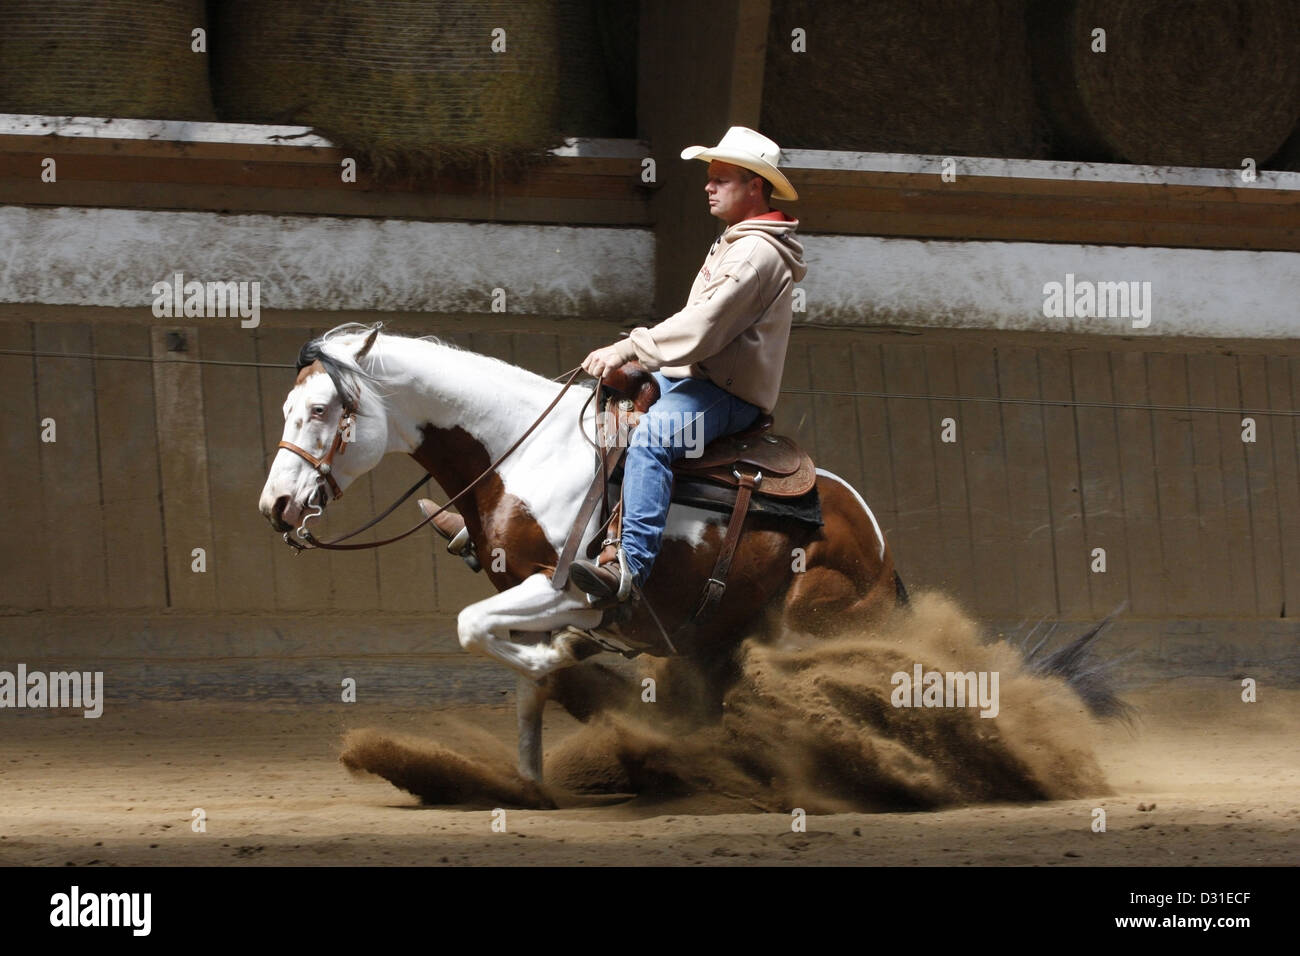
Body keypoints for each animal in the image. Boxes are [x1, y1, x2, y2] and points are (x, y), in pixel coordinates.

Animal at [258, 323, 908, 786]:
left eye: (320, 410)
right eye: (288, 410)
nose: (276, 504)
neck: (525, 450)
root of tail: (879, 546)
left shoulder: (568, 591)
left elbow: (476, 628)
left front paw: (564, 656)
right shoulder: (522, 593)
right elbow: (520, 685)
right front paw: (530, 786)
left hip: (805, 628)